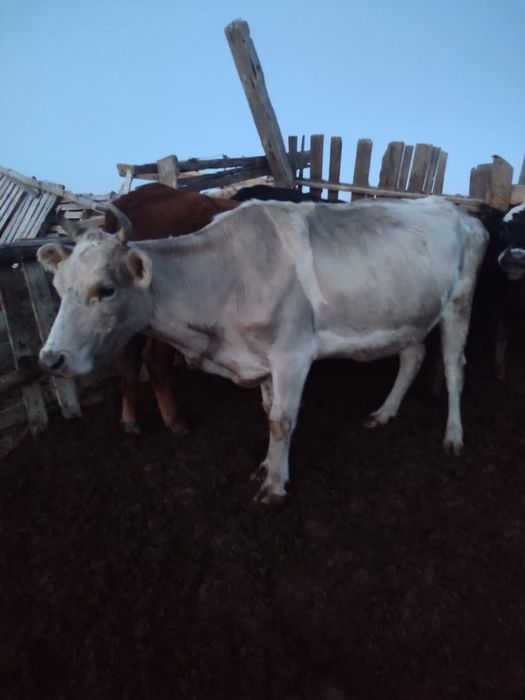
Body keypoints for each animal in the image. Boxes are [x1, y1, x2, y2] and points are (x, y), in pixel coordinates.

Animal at [37, 196, 488, 504]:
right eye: (58, 287)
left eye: (106, 289)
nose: (50, 358)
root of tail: (458, 210)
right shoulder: (262, 362)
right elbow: (268, 414)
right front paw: (266, 467)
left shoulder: (292, 356)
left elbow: (282, 422)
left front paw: (274, 486)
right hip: (406, 314)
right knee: (412, 357)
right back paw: (383, 414)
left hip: (459, 302)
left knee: (454, 368)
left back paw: (453, 436)